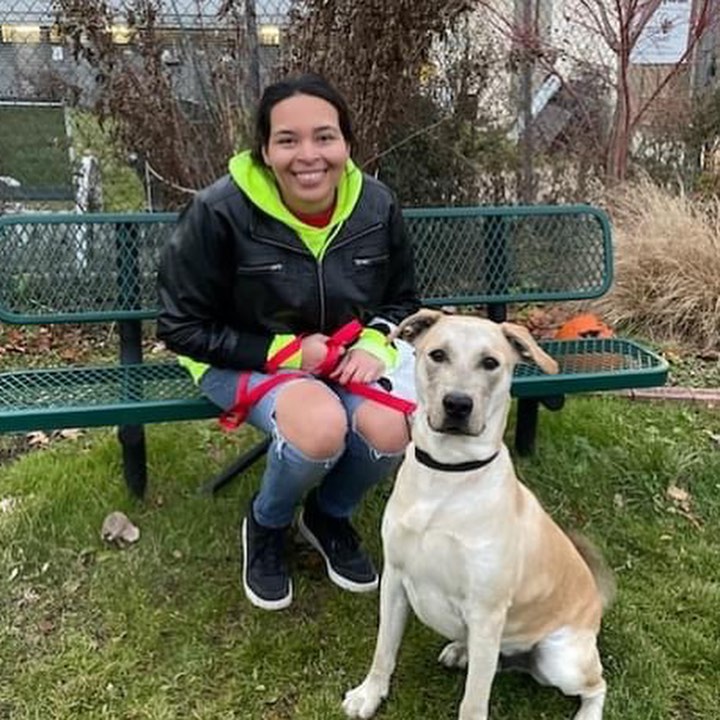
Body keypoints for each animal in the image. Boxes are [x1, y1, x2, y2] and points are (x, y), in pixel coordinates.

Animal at [342, 310, 612, 720]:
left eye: (490, 363)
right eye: (437, 354)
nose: (457, 404)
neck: (447, 474)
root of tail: (595, 602)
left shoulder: (487, 613)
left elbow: (473, 700)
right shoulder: (394, 581)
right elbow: (383, 651)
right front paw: (369, 695)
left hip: (560, 659)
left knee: (598, 684)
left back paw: (587, 713)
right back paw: (460, 649)